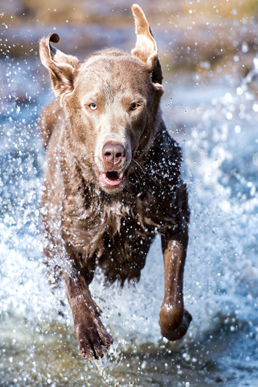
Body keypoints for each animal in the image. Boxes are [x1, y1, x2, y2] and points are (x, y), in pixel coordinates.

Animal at [38, 3, 191, 360]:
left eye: (135, 105)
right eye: (92, 105)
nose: (113, 152)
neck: (117, 198)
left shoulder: (174, 212)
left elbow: (172, 299)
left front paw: (178, 324)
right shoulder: (69, 224)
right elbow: (72, 278)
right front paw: (90, 331)